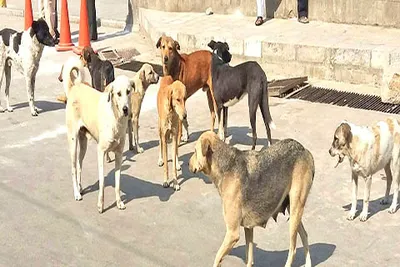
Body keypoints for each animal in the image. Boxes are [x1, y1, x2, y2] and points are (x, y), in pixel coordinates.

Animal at [65, 67, 134, 216]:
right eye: (118, 94)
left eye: (128, 91)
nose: (126, 109)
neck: (115, 119)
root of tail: (74, 87)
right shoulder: (101, 152)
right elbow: (102, 181)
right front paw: (100, 205)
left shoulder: (119, 154)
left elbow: (118, 183)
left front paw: (119, 202)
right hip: (73, 142)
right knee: (73, 168)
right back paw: (76, 193)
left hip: (83, 143)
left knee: (79, 164)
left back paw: (80, 187)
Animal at [189, 132, 314, 267]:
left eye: (195, 151)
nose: (188, 165)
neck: (226, 165)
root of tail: (304, 150)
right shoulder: (248, 228)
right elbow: (249, 257)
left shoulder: (232, 233)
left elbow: (217, 258)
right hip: (293, 210)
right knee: (305, 235)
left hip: (295, 210)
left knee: (293, 249)